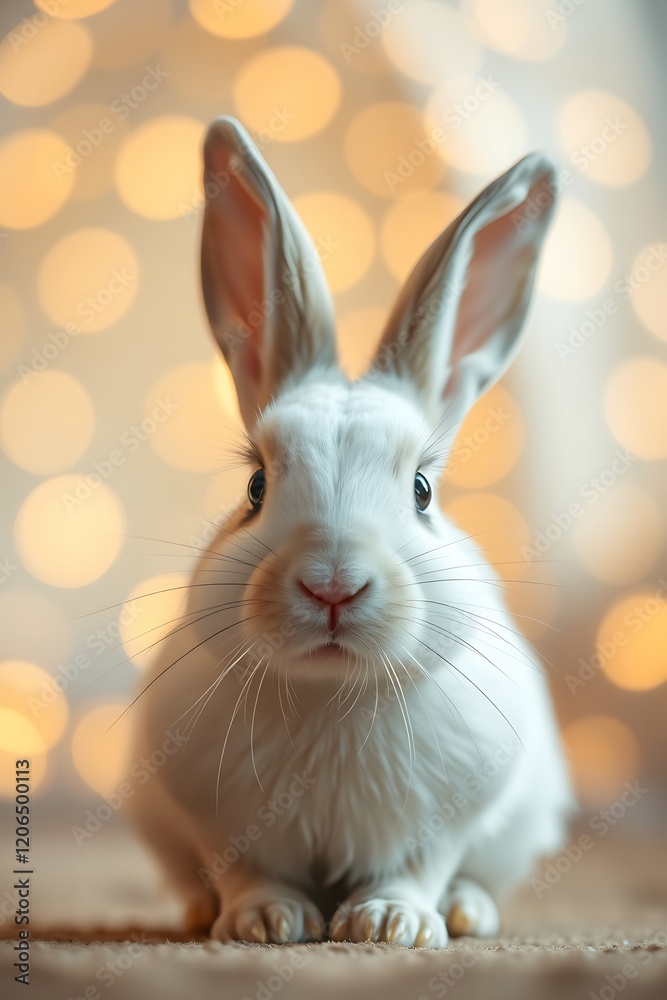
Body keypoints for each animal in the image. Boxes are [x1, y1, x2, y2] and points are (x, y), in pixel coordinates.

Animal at [126, 116, 573, 949]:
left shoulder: (447, 819)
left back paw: (466, 913)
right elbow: (244, 868)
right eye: (255, 487)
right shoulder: (214, 818)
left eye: (422, 490)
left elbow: (419, 866)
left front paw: (390, 926)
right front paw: (265, 923)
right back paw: (201, 913)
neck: (331, 695)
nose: (332, 585)